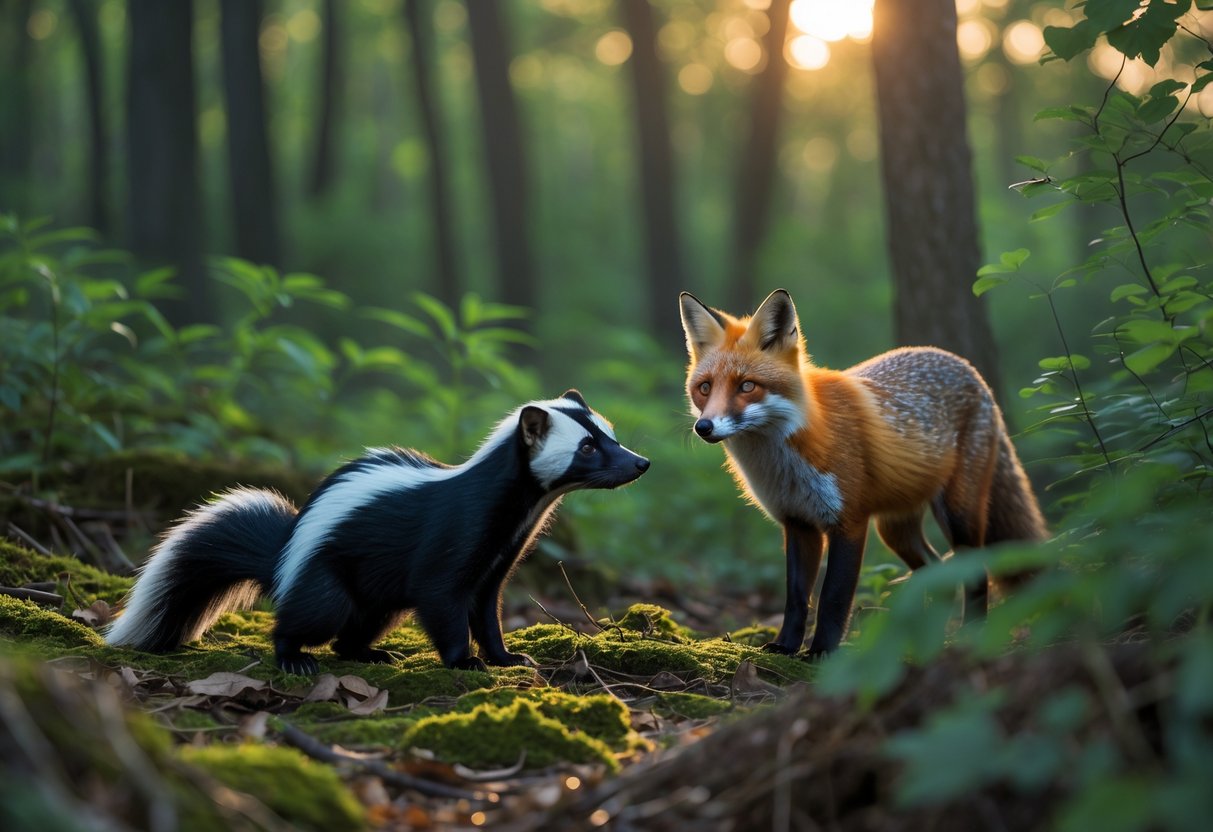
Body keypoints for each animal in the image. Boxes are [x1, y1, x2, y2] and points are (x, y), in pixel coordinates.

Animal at [679, 289, 1047, 657]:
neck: (785, 465)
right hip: (895, 528)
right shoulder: (797, 522)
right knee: (936, 570)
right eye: (705, 388)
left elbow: (833, 597)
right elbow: (796, 597)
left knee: (975, 571)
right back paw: (926, 640)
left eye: (747, 386)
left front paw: (822, 653)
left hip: (958, 512)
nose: (704, 427)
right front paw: (786, 646)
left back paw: (970, 636)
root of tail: (970, 370)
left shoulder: (849, 521)